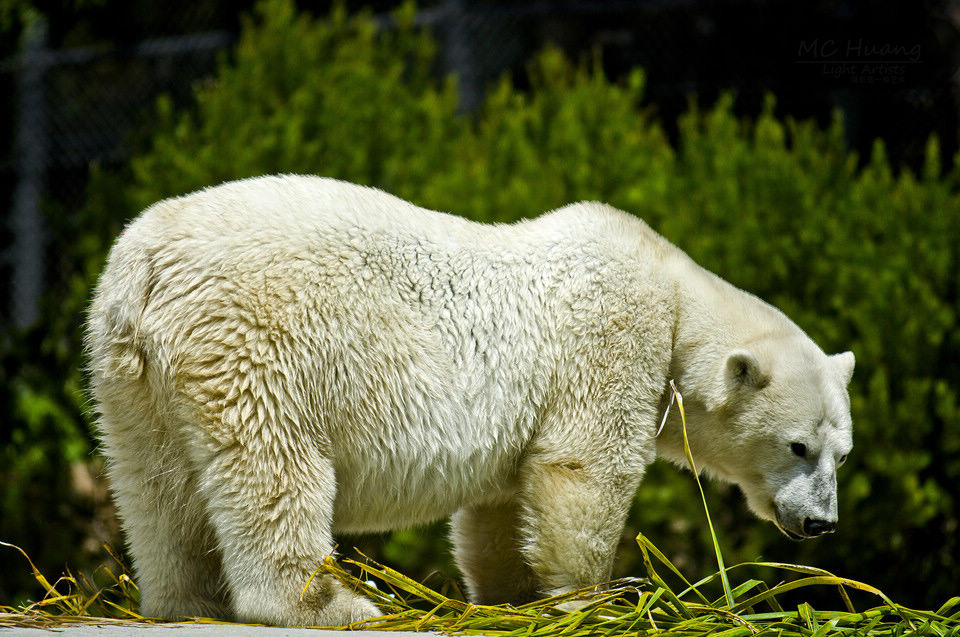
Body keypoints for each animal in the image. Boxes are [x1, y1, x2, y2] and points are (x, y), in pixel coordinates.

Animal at [88, 174, 856, 628]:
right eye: (798, 445)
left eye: (842, 453)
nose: (821, 523)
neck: (673, 293)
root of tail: (145, 267)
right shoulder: (613, 339)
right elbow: (584, 470)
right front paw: (599, 600)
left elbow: (501, 506)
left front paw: (509, 598)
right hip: (262, 341)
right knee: (273, 466)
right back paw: (332, 601)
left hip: (130, 372)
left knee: (154, 486)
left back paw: (186, 600)